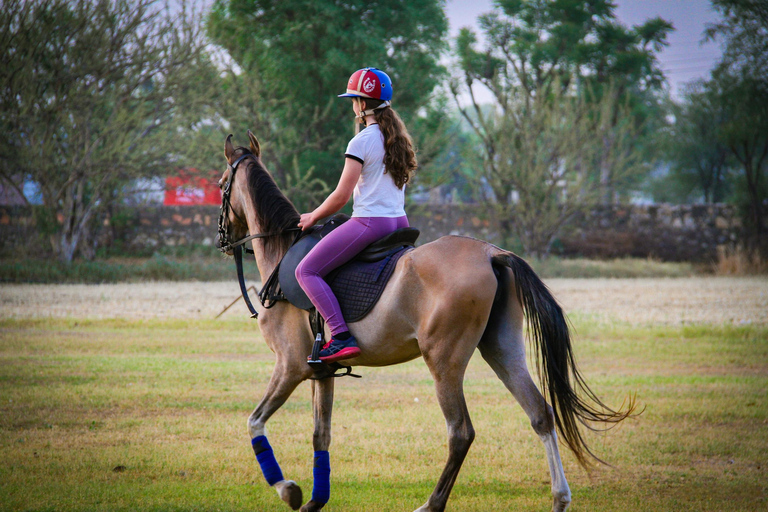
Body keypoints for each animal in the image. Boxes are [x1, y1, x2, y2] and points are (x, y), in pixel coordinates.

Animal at [216, 133, 636, 512]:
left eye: (221, 185)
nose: (221, 239)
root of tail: (491, 254)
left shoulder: (290, 366)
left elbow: (255, 423)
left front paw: (288, 490)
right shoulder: (321, 373)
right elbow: (321, 436)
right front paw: (314, 502)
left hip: (443, 361)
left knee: (461, 432)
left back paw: (431, 504)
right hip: (502, 350)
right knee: (540, 414)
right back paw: (560, 498)